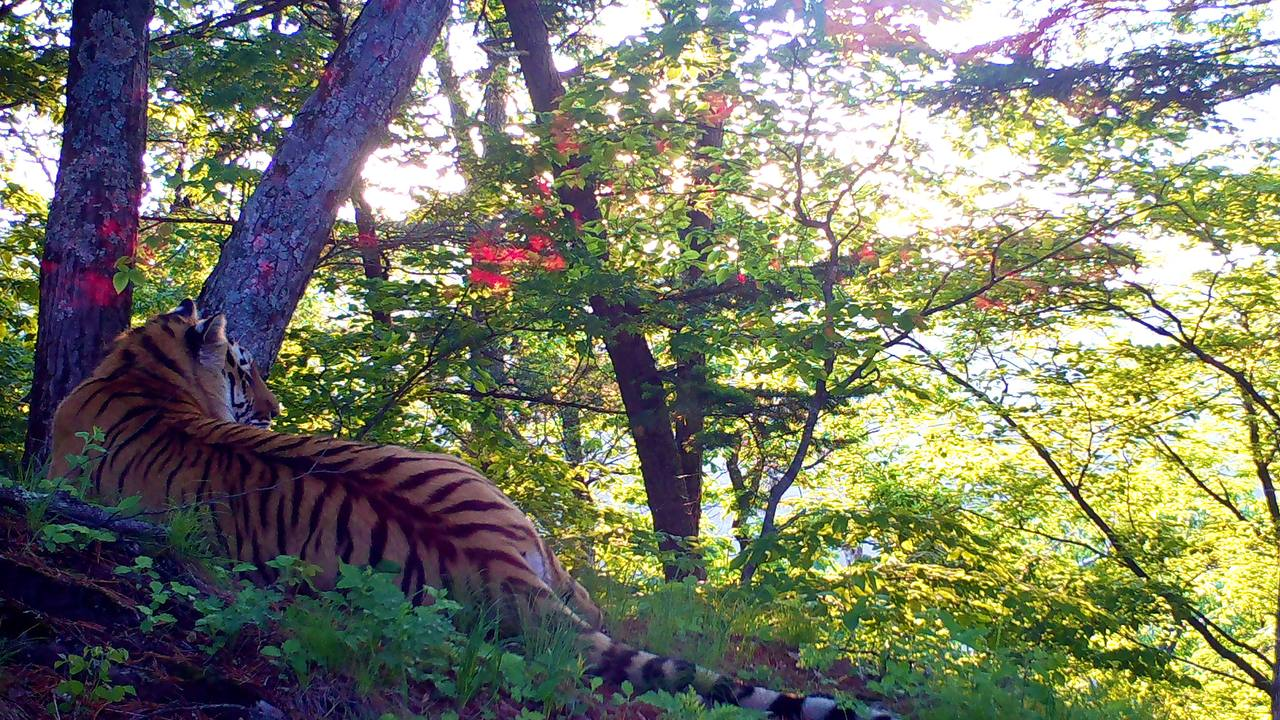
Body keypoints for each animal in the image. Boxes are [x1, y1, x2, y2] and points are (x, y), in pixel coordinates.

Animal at [49, 299, 890, 717]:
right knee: (599, 609)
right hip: (518, 523)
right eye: (244, 367)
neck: (139, 369)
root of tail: (490, 561)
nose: (273, 405)